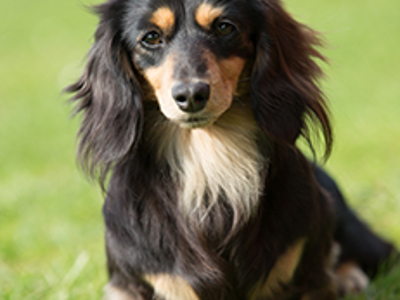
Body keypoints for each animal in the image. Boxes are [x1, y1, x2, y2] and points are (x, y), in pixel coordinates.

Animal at [67, 0, 396, 298]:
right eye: (151, 37)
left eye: (224, 27)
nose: (191, 95)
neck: (212, 160)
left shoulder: (310, 277)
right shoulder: (128, 283)